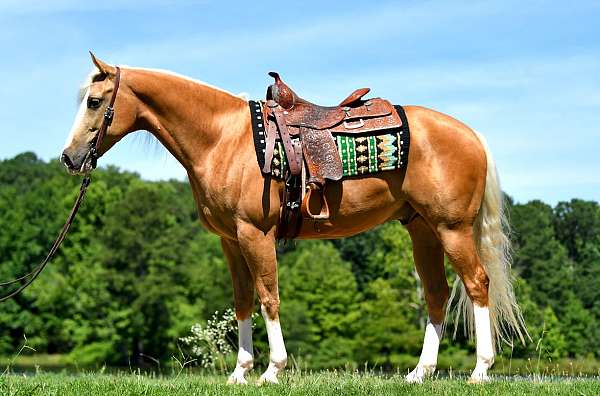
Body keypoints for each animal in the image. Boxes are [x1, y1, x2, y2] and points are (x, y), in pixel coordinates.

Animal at [61, 53, 524, 384]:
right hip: (422, 230)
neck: (223, 139)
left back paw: (480, 370)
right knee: (436, 293)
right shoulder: (230, 241)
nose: (69, 158)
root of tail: (471, 134)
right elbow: (243, 301)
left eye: (95, 102)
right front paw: (239, 372)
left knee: (477, 284)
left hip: (452, 229)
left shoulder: (256, 234)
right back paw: (418, 373)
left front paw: (272, 370)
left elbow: (269, 297)